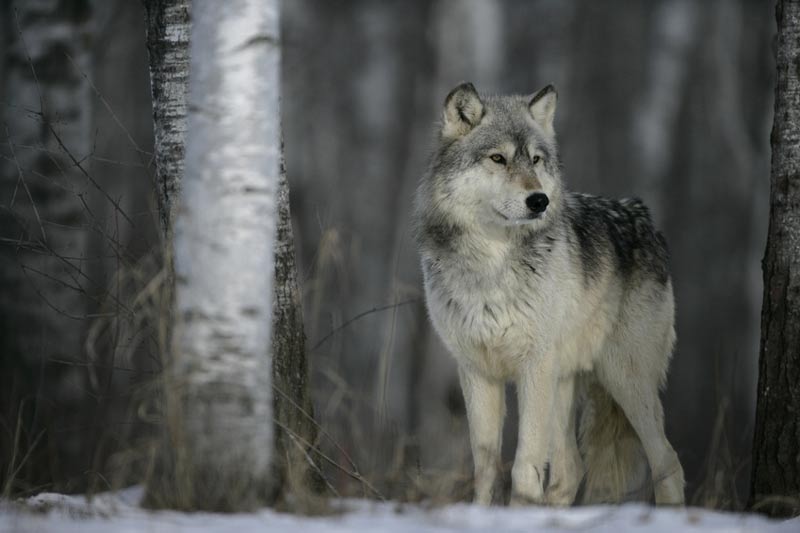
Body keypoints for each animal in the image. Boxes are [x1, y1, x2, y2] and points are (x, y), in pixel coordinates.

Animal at [416, 81, 684, 504]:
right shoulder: (477, 371)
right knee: (571, 469)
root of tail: (644, 217)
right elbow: (486, 466)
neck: (492, 265)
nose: (539, 200)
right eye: (498, 158)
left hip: (624, 379)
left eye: (537, 160)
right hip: (565, 383)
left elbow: (524, 464)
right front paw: (484, 510)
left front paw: (520, 507)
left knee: (668, 461)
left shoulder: (534, 366)